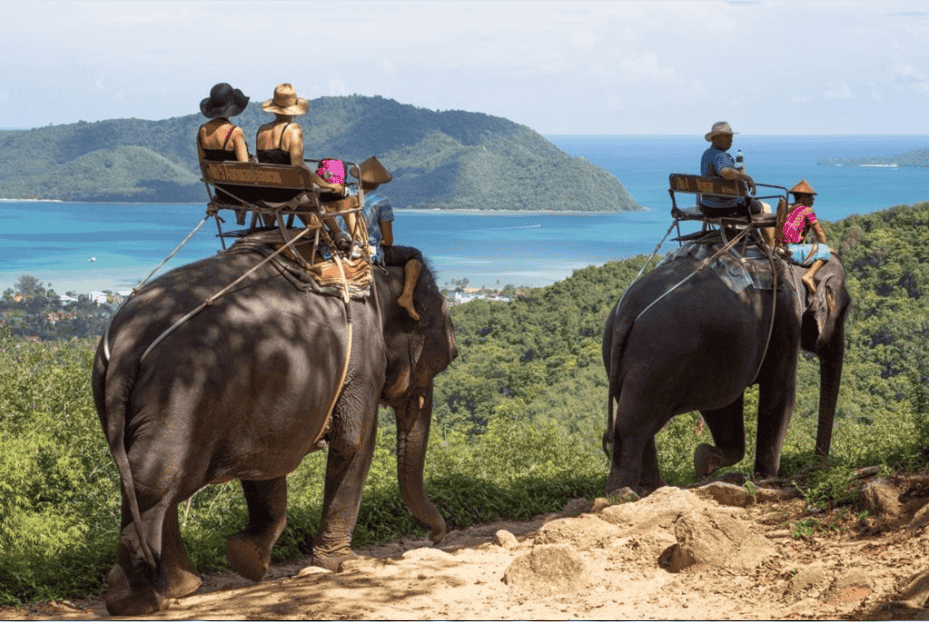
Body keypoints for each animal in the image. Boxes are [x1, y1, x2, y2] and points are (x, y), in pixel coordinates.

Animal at [92, 247, 457, 615]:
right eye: (449, 355)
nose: (435, 538)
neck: (378, 279)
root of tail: (124, 346)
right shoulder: (362, 365)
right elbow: (354, 442)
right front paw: (345, 562)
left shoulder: (273, 398)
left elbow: (270, 457)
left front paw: (248, 559)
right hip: (178, 394)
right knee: (155, 481)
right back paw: (139, 601)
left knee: (147, 480)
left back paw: (179, 587)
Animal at [601, 243, 850, 495]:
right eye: (845, 310)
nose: (818, 466)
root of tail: (627, 311)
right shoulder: (786, 319)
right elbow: (780, 394)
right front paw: (766, 478)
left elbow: (723, 407)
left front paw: (703, 462)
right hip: (658, 358)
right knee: (633, 425)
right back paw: (622, 492)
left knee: (639, 422)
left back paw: (653, 487)